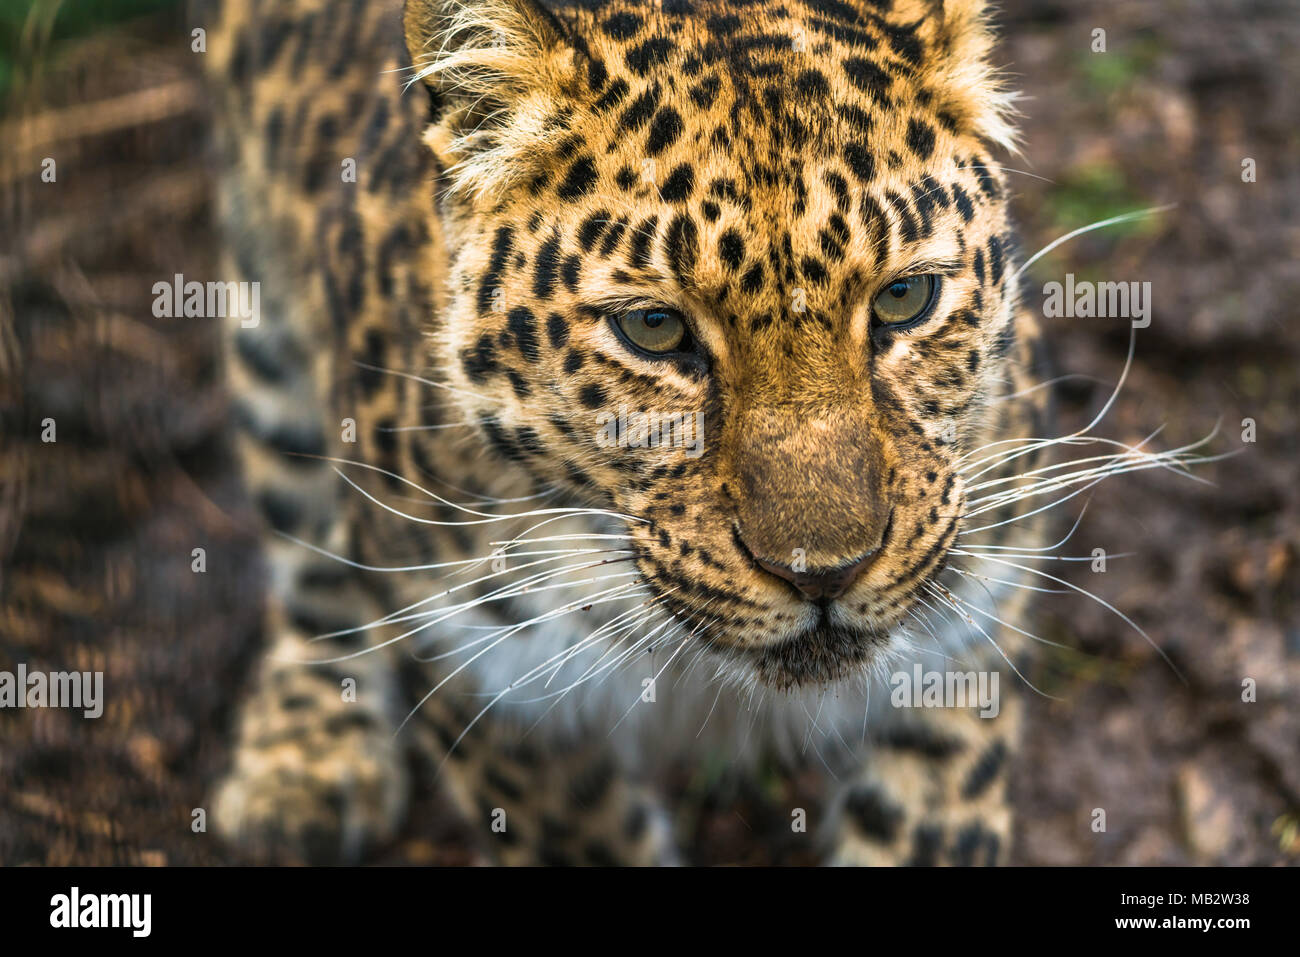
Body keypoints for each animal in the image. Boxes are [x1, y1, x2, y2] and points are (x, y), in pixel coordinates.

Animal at [204, 0, 1056, 866]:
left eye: (905, 298)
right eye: (652, 328)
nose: (827, 575)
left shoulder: (970, 619)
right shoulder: (478, 673)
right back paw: (302, 762)